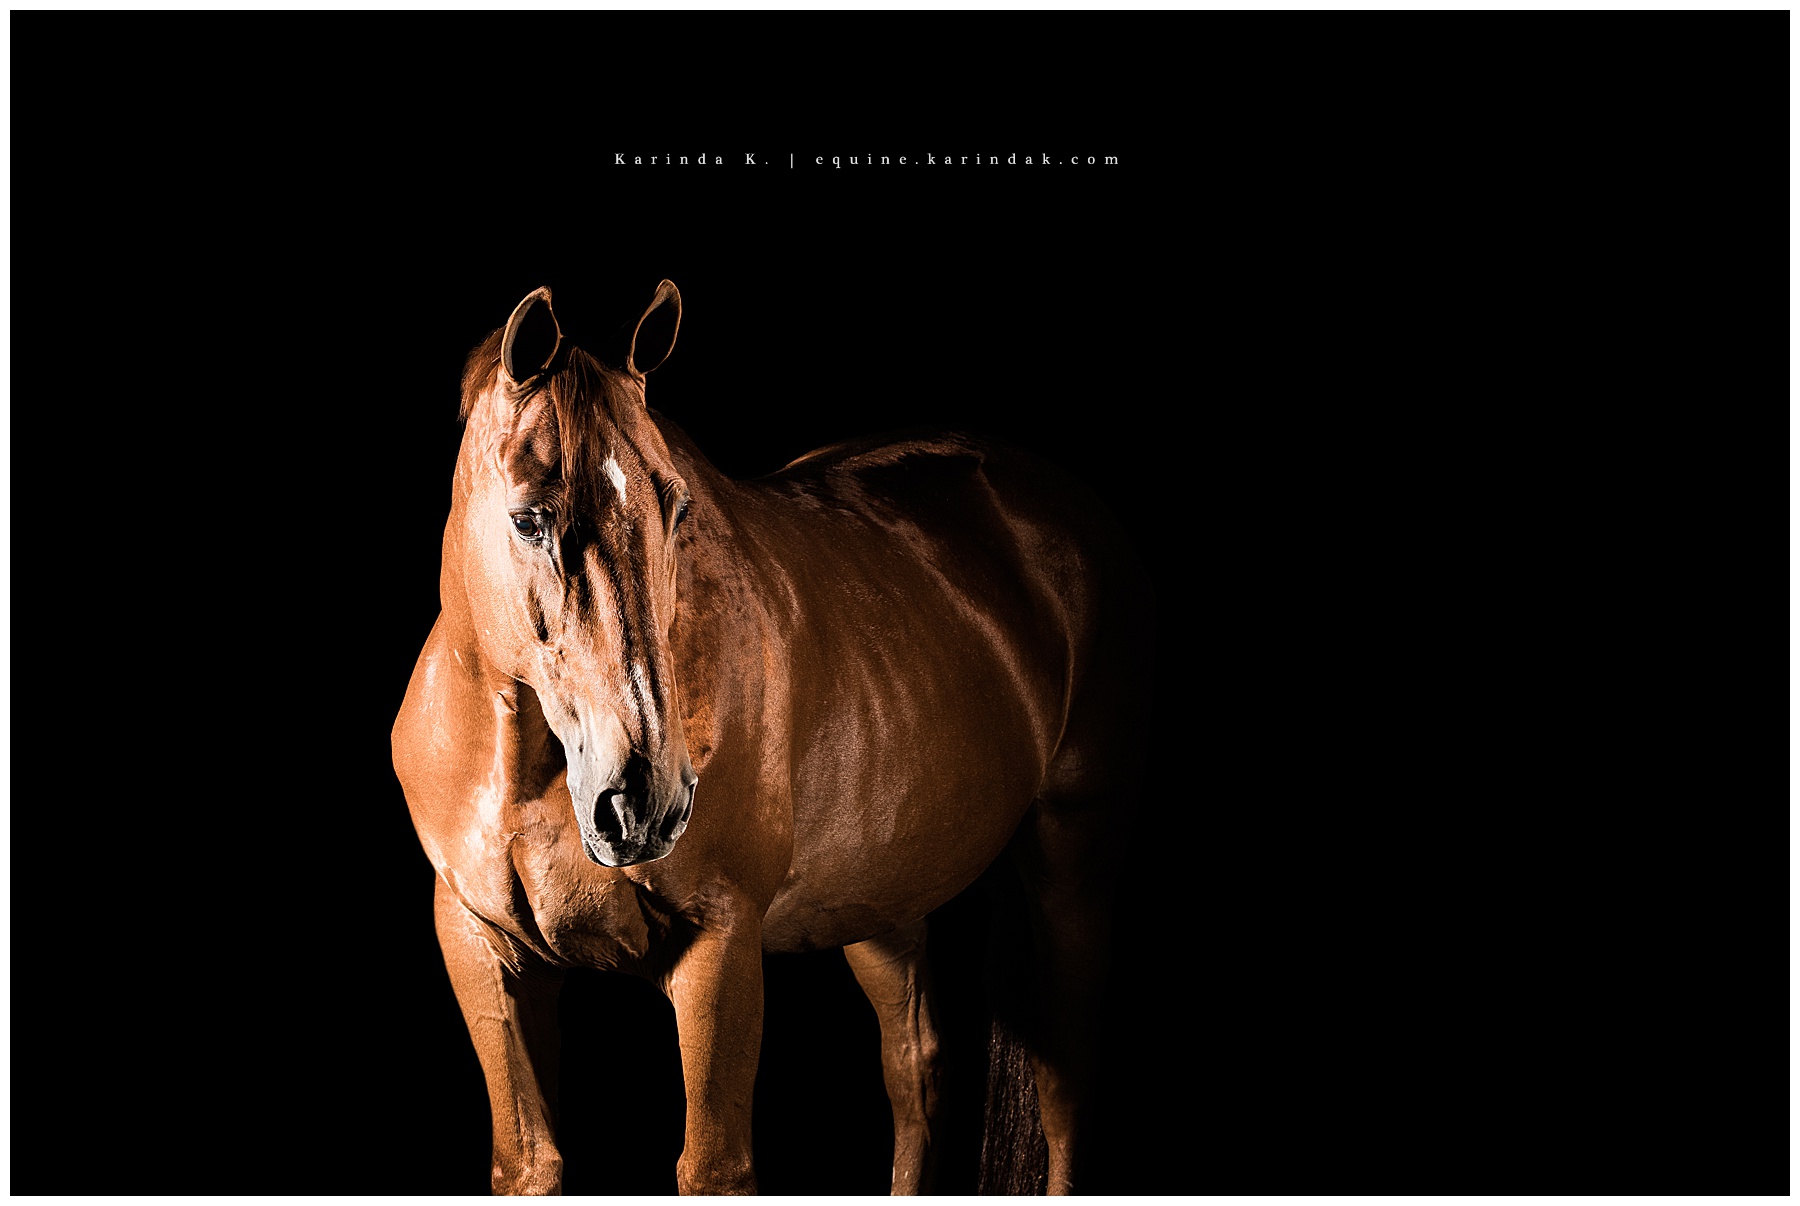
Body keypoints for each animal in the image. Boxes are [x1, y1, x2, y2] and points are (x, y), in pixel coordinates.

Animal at [391, 281, 1153, 1195]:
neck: (524, 772)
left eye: (675, 502)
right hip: (880, 901)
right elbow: (528, 1164)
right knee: (916, 1071)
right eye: (529, 520)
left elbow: (714, 1167)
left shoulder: (717, 947)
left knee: (1063, 1077)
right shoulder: (482, 949)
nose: (646, 801)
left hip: (1073, 859)